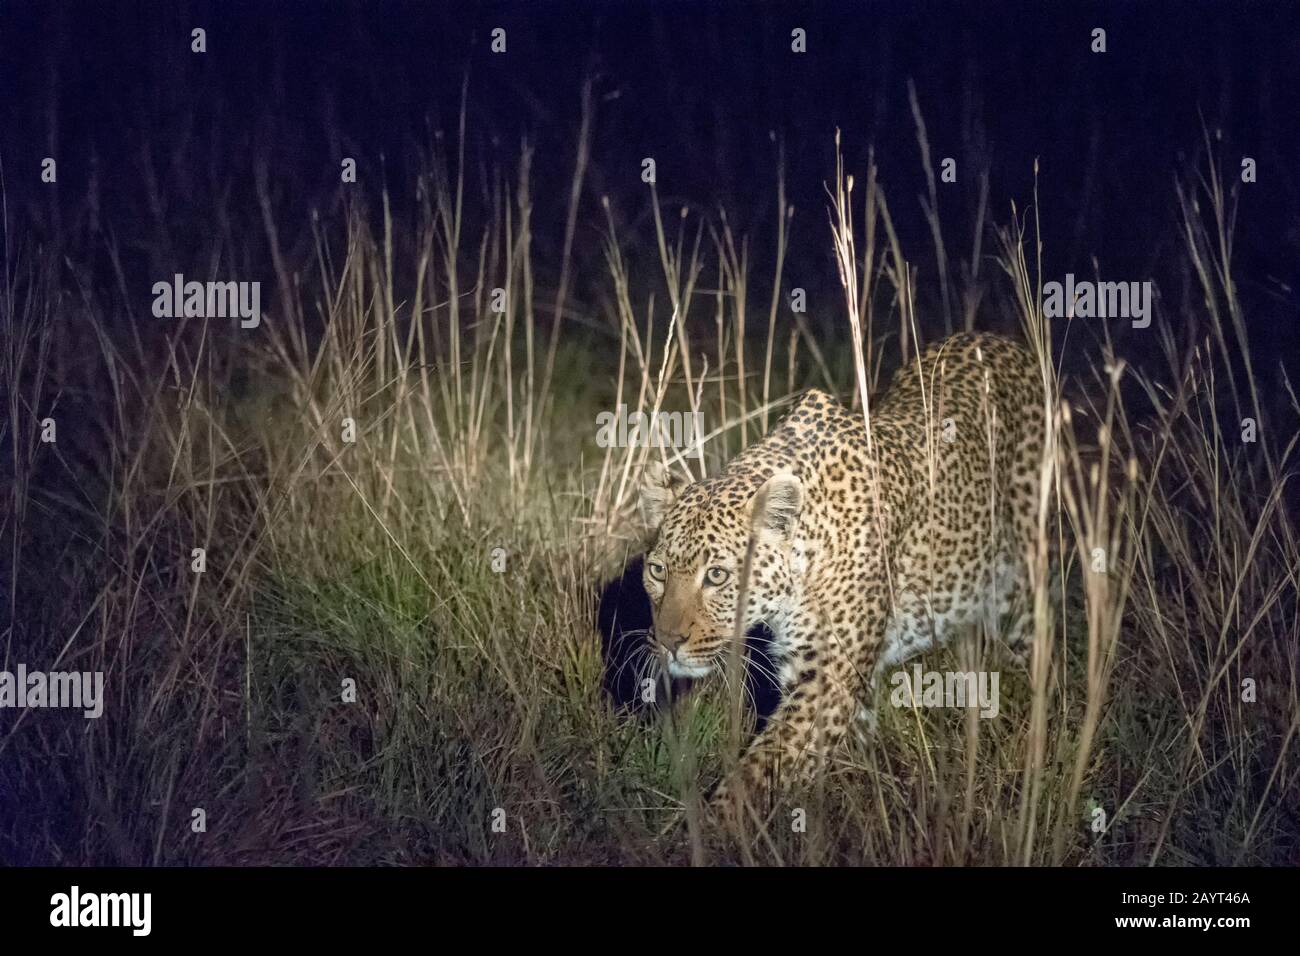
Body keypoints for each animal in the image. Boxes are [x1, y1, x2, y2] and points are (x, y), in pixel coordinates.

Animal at [639, 329, 1045, 822]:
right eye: (657, 571)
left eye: (716, 576)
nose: (668, 641)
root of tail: (995, 337)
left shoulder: (828, 679)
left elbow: (763, 765)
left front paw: (717, 822)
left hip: (1024, 584)